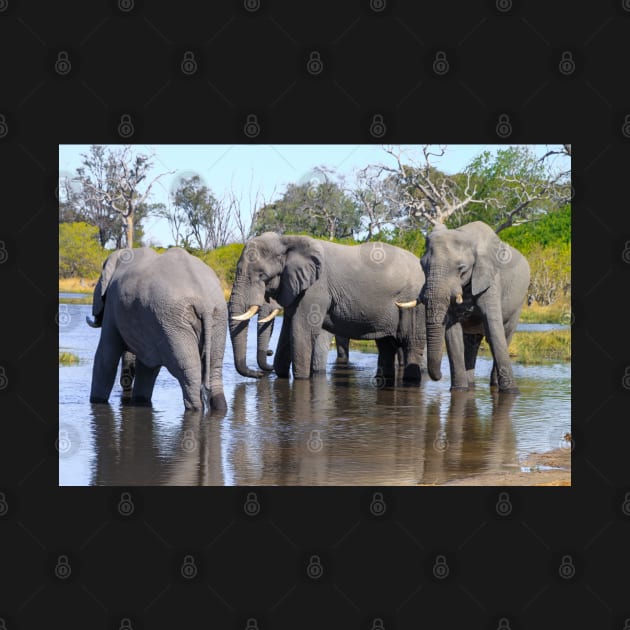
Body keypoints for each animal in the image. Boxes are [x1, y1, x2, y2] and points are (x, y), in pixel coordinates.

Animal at [87, 247, 227, 414]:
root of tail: (205, 302)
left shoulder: (112, 306)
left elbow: (106, 356)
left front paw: (96, 401)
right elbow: (147, 368)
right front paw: (140, 400)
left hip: (174, 323)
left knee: (188, 372)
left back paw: (195, 409)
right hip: (217, 318)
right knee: (214, 370)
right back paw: (220, 407)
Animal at [227, 232, 424, 380]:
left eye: (262, 276)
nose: (259, 374)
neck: (286, 241)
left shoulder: (316, 288)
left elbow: (302, 331)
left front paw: (301, 379)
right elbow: (287, 331)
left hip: (413, 302)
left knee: (411, 342)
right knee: (386, 345)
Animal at [420, 220, 532, 392]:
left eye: (461, 269)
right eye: (422, 266)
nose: (438, 377)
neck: (465, 236)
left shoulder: (490, 278)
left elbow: (494, 331)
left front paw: (512, 392)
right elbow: (453, 334)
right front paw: (459, 390)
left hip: (519, 302)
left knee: (506, 334)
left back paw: (494, 384)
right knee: (471, 343)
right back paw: (470, 385)